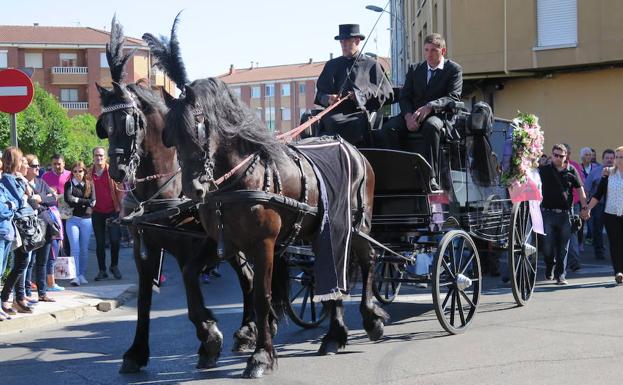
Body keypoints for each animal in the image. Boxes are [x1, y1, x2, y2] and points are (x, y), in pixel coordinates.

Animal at [94, 18, 258, 372]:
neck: (158, 196)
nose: (116, 171)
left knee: (250, 276)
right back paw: (247, 332)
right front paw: (136, 352)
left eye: (129, 123)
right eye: (104, 126)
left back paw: (249, 331)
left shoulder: (198, 247)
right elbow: (144, 299)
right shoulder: (145, 248)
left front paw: (209, 337)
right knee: (249, 276)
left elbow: (189, 283)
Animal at [143, 16, 388, 376]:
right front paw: (218, 338)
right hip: (324, 229)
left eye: (200, 125)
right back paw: (333, 336)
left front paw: (260, 355)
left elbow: (261, 297)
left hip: (358, 224)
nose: (194, 190)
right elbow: (198, 278)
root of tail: (355, 150)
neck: (240, 179)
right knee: (329, 271)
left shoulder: (263, 245)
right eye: (170, 135)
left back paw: (371, 319)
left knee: (367, 260)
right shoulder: (225, 242)